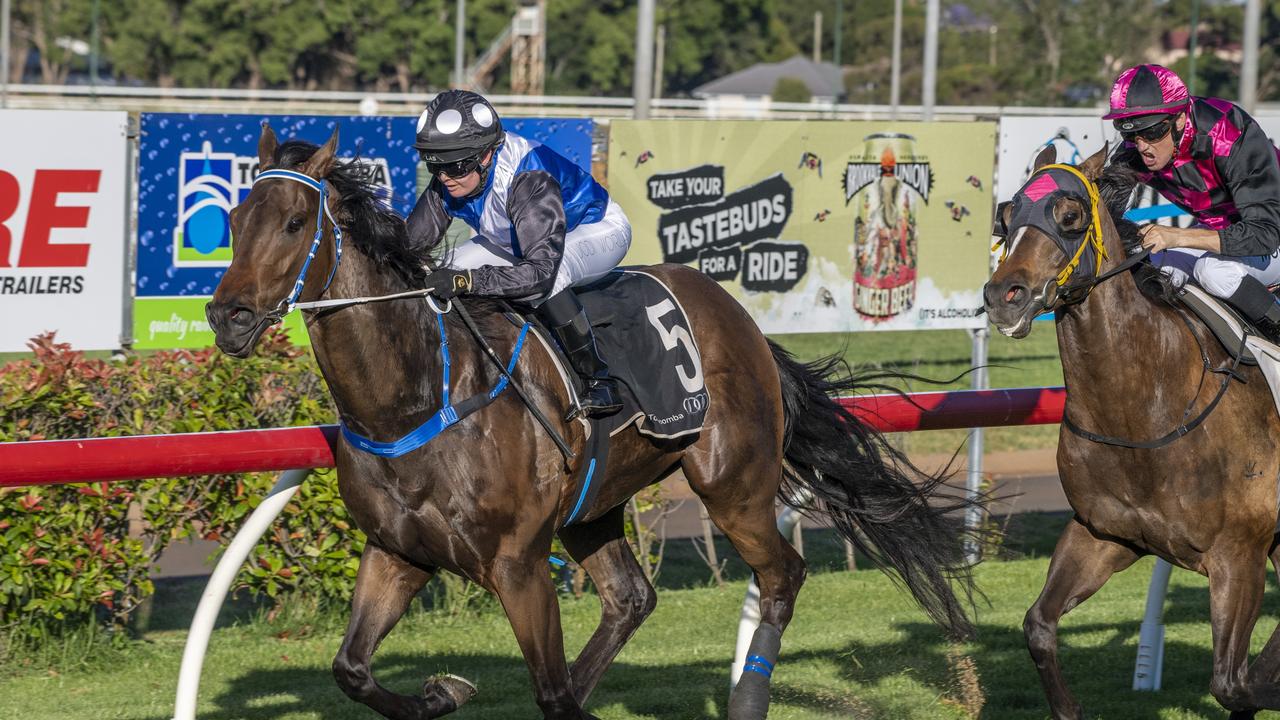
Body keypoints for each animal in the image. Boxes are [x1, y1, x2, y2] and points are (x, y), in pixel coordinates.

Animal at [207, 124, 977, 717]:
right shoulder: (396, 552)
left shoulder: (518, 566)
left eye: (295, 223)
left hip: (733, 484)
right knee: (630, 598)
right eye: (236, 220)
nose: (228, 316)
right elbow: (353, 669)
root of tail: (742, 319)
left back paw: (748, 697)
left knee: (782, 575)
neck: (417, 398)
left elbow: (547, 689)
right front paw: (442, 692)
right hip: (592, 504)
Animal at [983, 142, 1280, 712]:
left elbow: (1235, 683)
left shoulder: (1240, 554)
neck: (1142, 409)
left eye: (1069, 216)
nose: (1004, 295)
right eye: (1006, 216)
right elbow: (1038, 626)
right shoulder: (1103, 533)